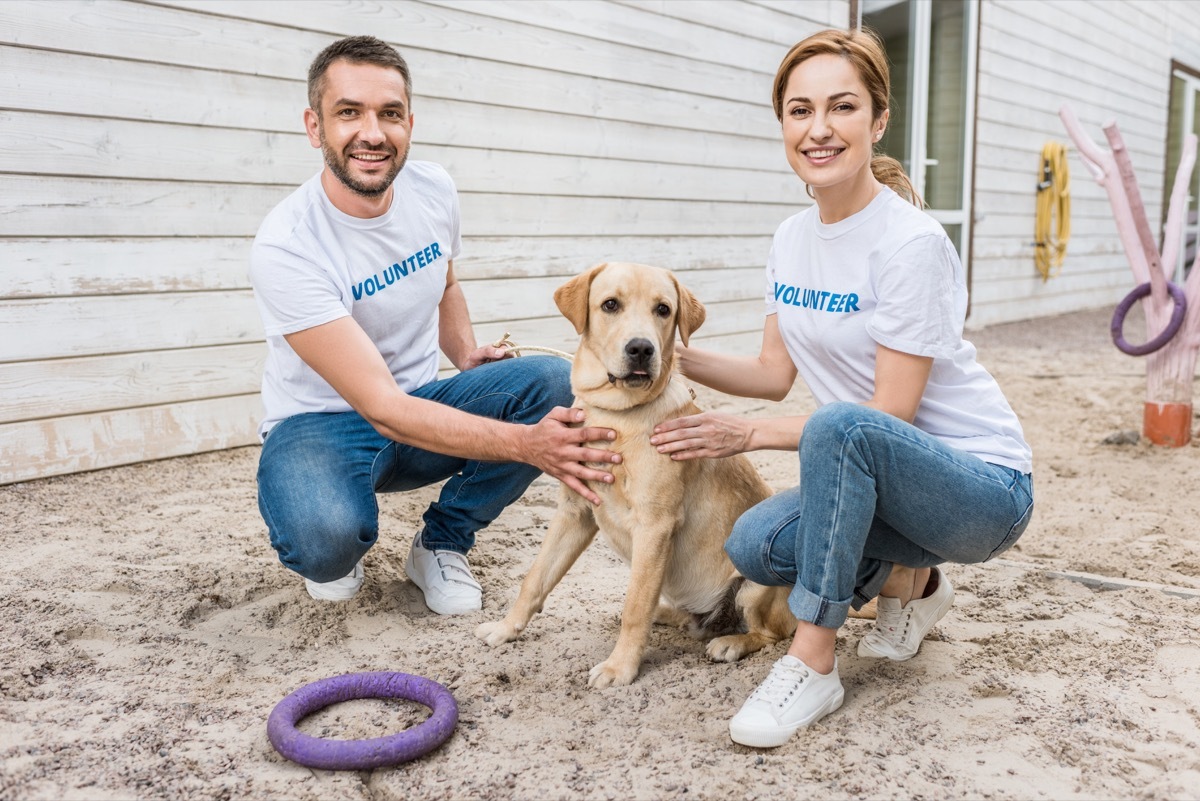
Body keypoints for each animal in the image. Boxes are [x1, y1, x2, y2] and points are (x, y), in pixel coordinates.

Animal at [475, 262, 796, 690]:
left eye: (663, 310)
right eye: (610, 304)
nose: (642, 349)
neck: (617, 415)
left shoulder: (654, 526)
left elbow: (635, 605)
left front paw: (620, 668)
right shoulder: (574, 511)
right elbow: (535, 579)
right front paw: (505, 629)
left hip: (754, 585)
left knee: (772, 633)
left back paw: (731, 642)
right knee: (692, 618)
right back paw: (673, 615)